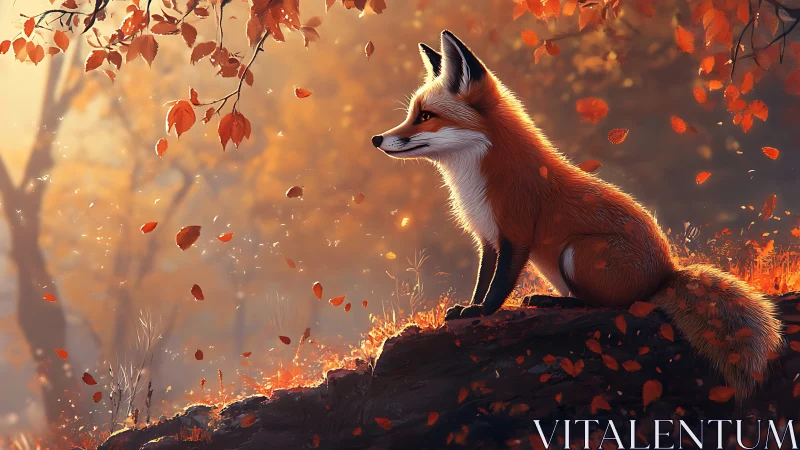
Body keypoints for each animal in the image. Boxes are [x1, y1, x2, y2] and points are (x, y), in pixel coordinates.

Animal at [371, 30, 783, 400]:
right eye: (412, 114)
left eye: (425, 116)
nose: (377, 139)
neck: (477, 178)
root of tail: (667, 272)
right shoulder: (487, 237)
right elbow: (484, 276)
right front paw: (468, 307)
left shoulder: (516, 232)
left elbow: (500, 284)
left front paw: (482, 311)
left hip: (577, 253)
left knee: (610, 305)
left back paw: (553, 303)